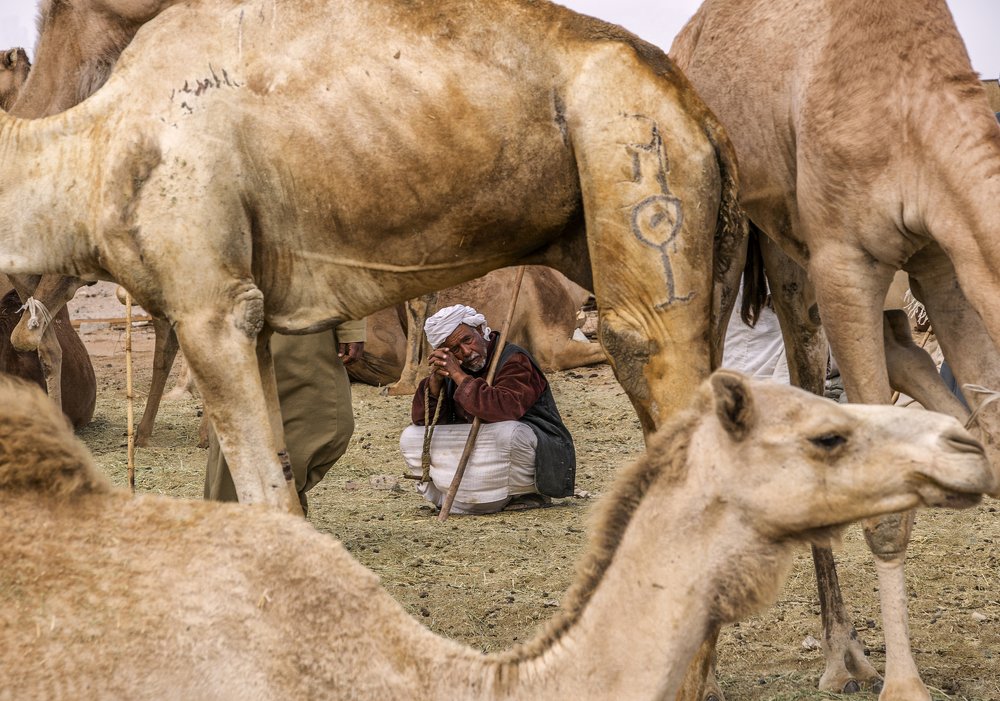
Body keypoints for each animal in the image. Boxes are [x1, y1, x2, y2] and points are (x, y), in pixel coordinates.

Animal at [0, 0, 745, 512]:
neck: (89, 147)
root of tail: (698, 109)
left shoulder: (210, 303)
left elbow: (266, 495)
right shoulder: (254, 319)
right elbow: (282, 488)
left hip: (636, 159)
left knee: (647, 355)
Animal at [672, 1, 1000, 698]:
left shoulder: (943, 257)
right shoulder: (847, 259)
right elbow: (886, 507)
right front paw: (905, 685)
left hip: (791, 251)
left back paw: (842, 654)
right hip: (726, 234)